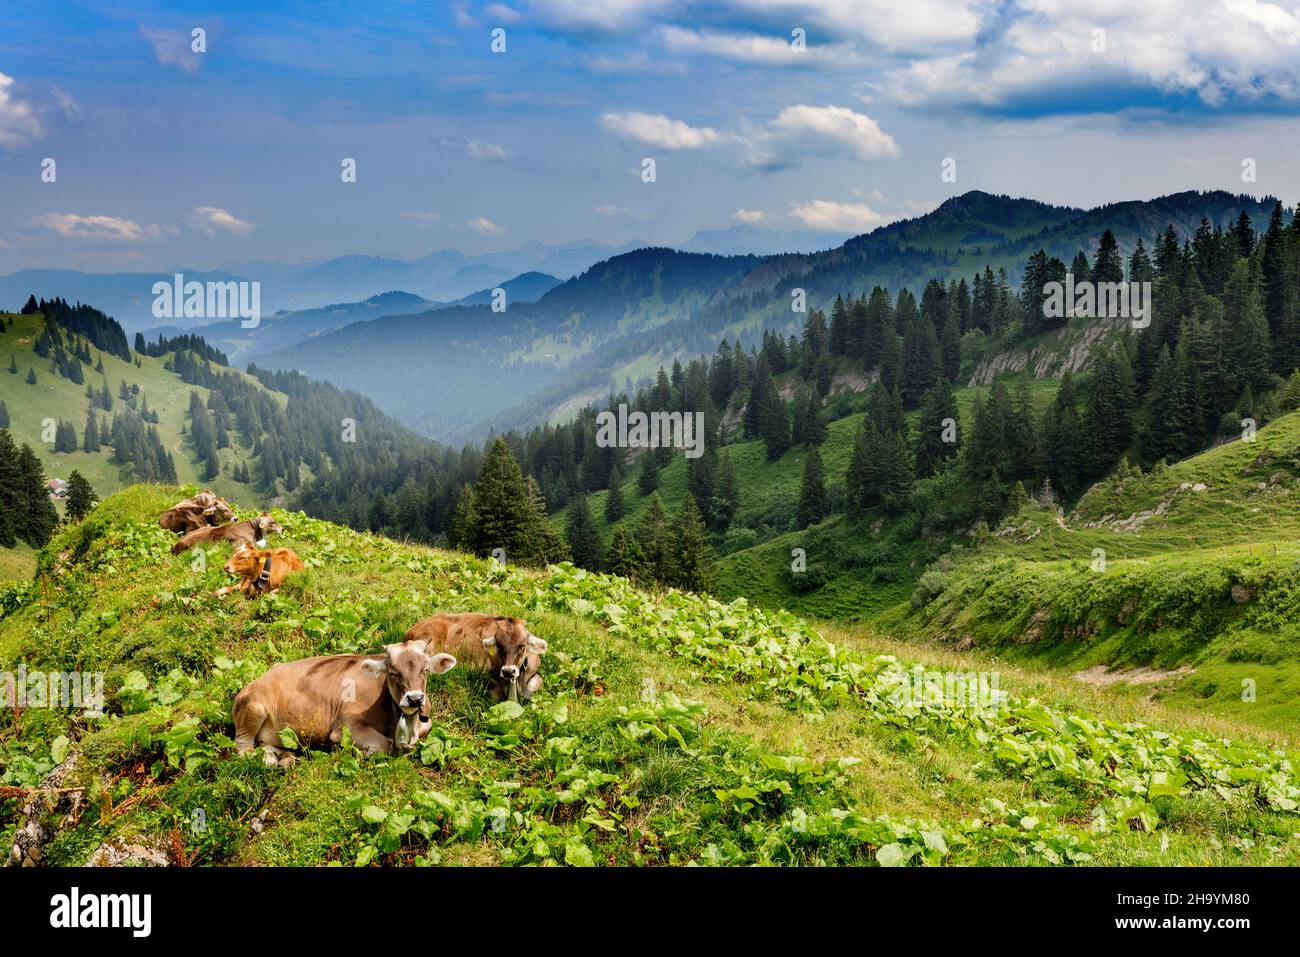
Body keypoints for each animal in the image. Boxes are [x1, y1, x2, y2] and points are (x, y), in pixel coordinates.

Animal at [231, 639, 460, 764]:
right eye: (393, 672)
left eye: (425, 670)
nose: (415, 698)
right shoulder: (346, 726)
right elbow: (383, 745)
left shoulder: (424, 723)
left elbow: (426, 728)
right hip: (254, 708)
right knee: (243, 747)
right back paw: (270, 760)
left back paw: (284, 758)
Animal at [405, 613, 548, 702]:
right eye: (499, 646)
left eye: (522, 646)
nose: (508, 671)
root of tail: (411, 630)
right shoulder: (479, 672)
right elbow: (496, 692)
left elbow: (539, 682)